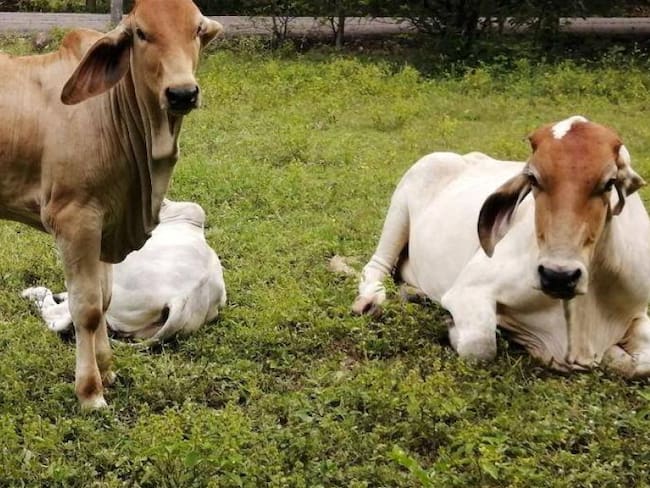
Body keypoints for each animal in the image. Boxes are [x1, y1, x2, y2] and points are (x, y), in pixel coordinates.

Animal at [352, 116, 650, 377]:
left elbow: (642, 362)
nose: (558, 275)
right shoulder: (468, 290)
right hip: (402, 203)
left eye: (609, 182)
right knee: (375, 266)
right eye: (533, 178)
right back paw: (371, 301)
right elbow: (480, 344)